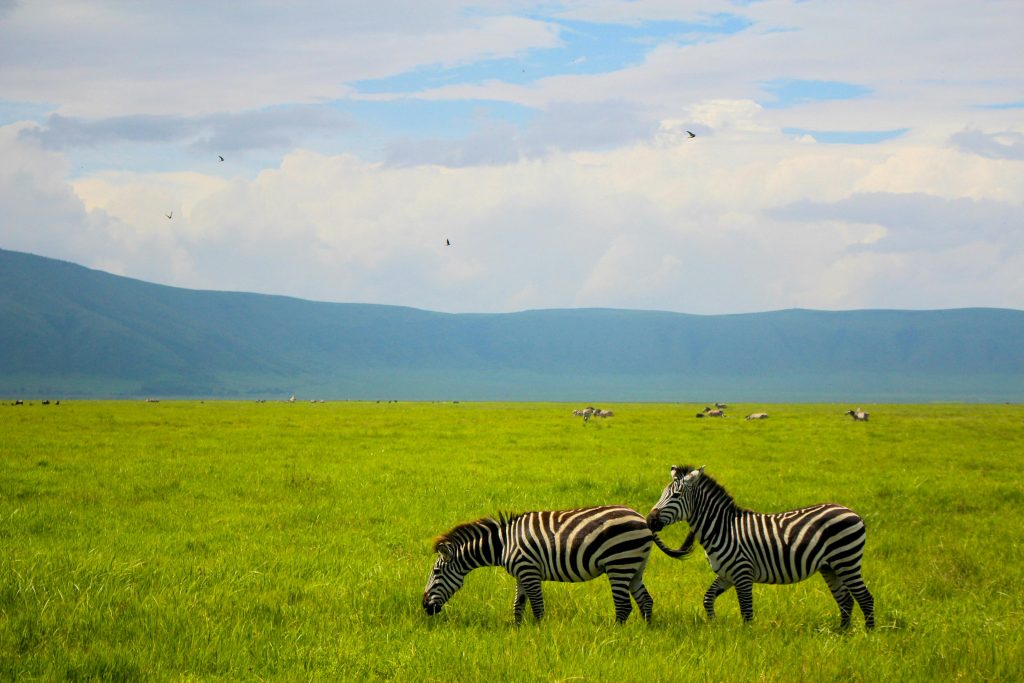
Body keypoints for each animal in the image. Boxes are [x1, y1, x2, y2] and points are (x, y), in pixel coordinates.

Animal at [423, 506, 695, 624]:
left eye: (436, 572)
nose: (425, 607)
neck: (503, 544)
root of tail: (642, 520)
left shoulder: (529, 570)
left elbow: (537, 607)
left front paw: (539, 632)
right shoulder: (521, 573)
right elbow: (518, 605)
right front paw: (516, 630)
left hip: (619, 564)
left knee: (623, 607)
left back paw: (617, 634)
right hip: (635, 566)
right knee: (646, 601)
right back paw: (646, 631)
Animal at [646, 466, 875, 629]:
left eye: (676, 496)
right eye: (662, 493)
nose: (649, 520)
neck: (723, 528)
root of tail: (852, 512)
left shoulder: (743, 573)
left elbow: (746, 611)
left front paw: (748, 639)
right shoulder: (727, 574)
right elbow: (708, 598)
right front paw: (713, 624)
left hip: (846, 560)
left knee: (865, 598)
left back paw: (868, 634)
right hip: (830, 567)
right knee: (845, 600)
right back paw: (842, 633)